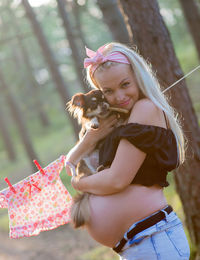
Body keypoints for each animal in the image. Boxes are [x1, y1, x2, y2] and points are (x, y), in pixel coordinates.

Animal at [66, 89, 129, 228]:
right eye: (94, 104)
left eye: (105, 99)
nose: (104, 105)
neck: (104, 117)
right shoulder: (85, 132)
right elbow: (91, 119)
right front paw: (94, 122)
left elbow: (119, 118)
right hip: (83, 162)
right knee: (92, 175)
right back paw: (99, 170)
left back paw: (102, 167)